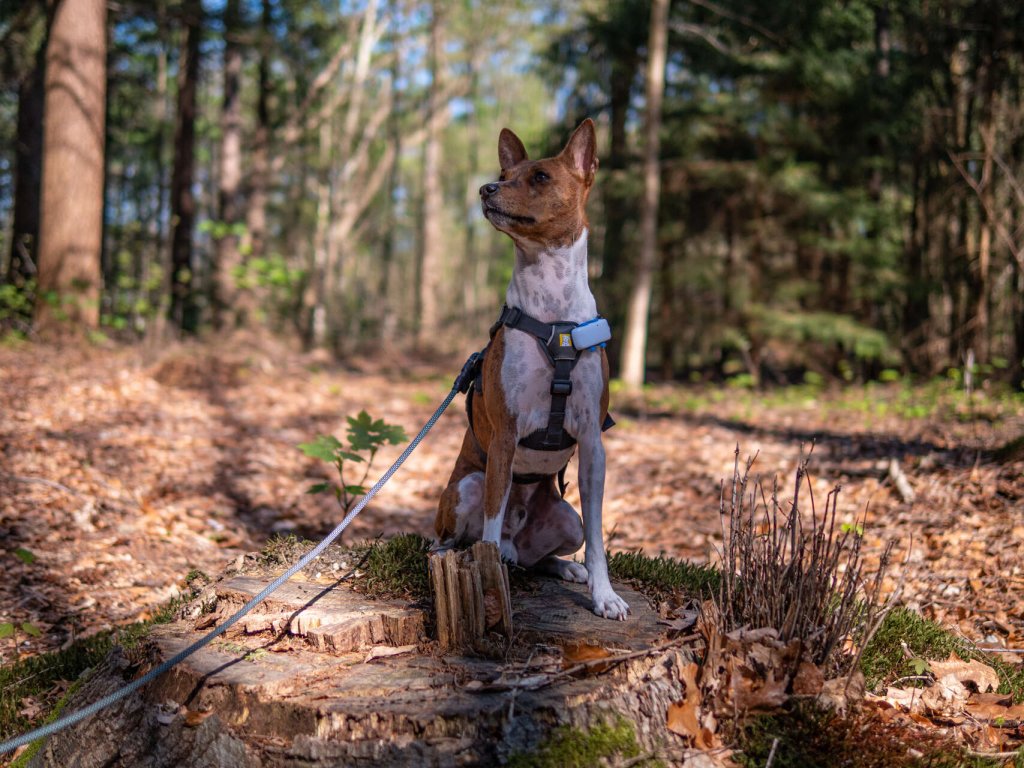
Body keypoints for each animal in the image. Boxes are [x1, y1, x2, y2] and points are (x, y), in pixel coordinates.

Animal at [434, 121, 630, 626]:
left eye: (539, 177)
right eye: (505, 174)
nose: (487, 188)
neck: (552, 306)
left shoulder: (593, 443)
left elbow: (599, 539)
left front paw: (604, 594)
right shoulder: (505, 435)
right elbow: (488, 528)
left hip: (566, 519)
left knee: (537, 557)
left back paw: (564, 568)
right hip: (468, 485)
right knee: (465, 539)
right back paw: (464, 553)